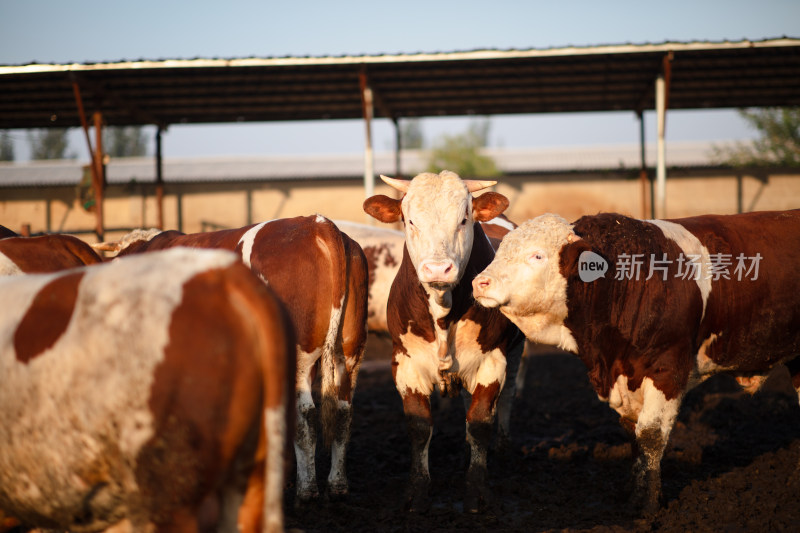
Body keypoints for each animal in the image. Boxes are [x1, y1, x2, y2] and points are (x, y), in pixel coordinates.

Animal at [97, 213, 368, 502]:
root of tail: (317, 224)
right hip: (350, 352)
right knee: (343, 411)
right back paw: (336, 483)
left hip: (300, 357)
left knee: (304, 415)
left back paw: (306, 489)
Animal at [472, 209, 800, 512]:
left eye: (538, 255)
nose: (480, 282)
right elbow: (634, 436)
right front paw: (634, 494)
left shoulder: (668, 370)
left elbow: (651, 435)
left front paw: (649, 506)